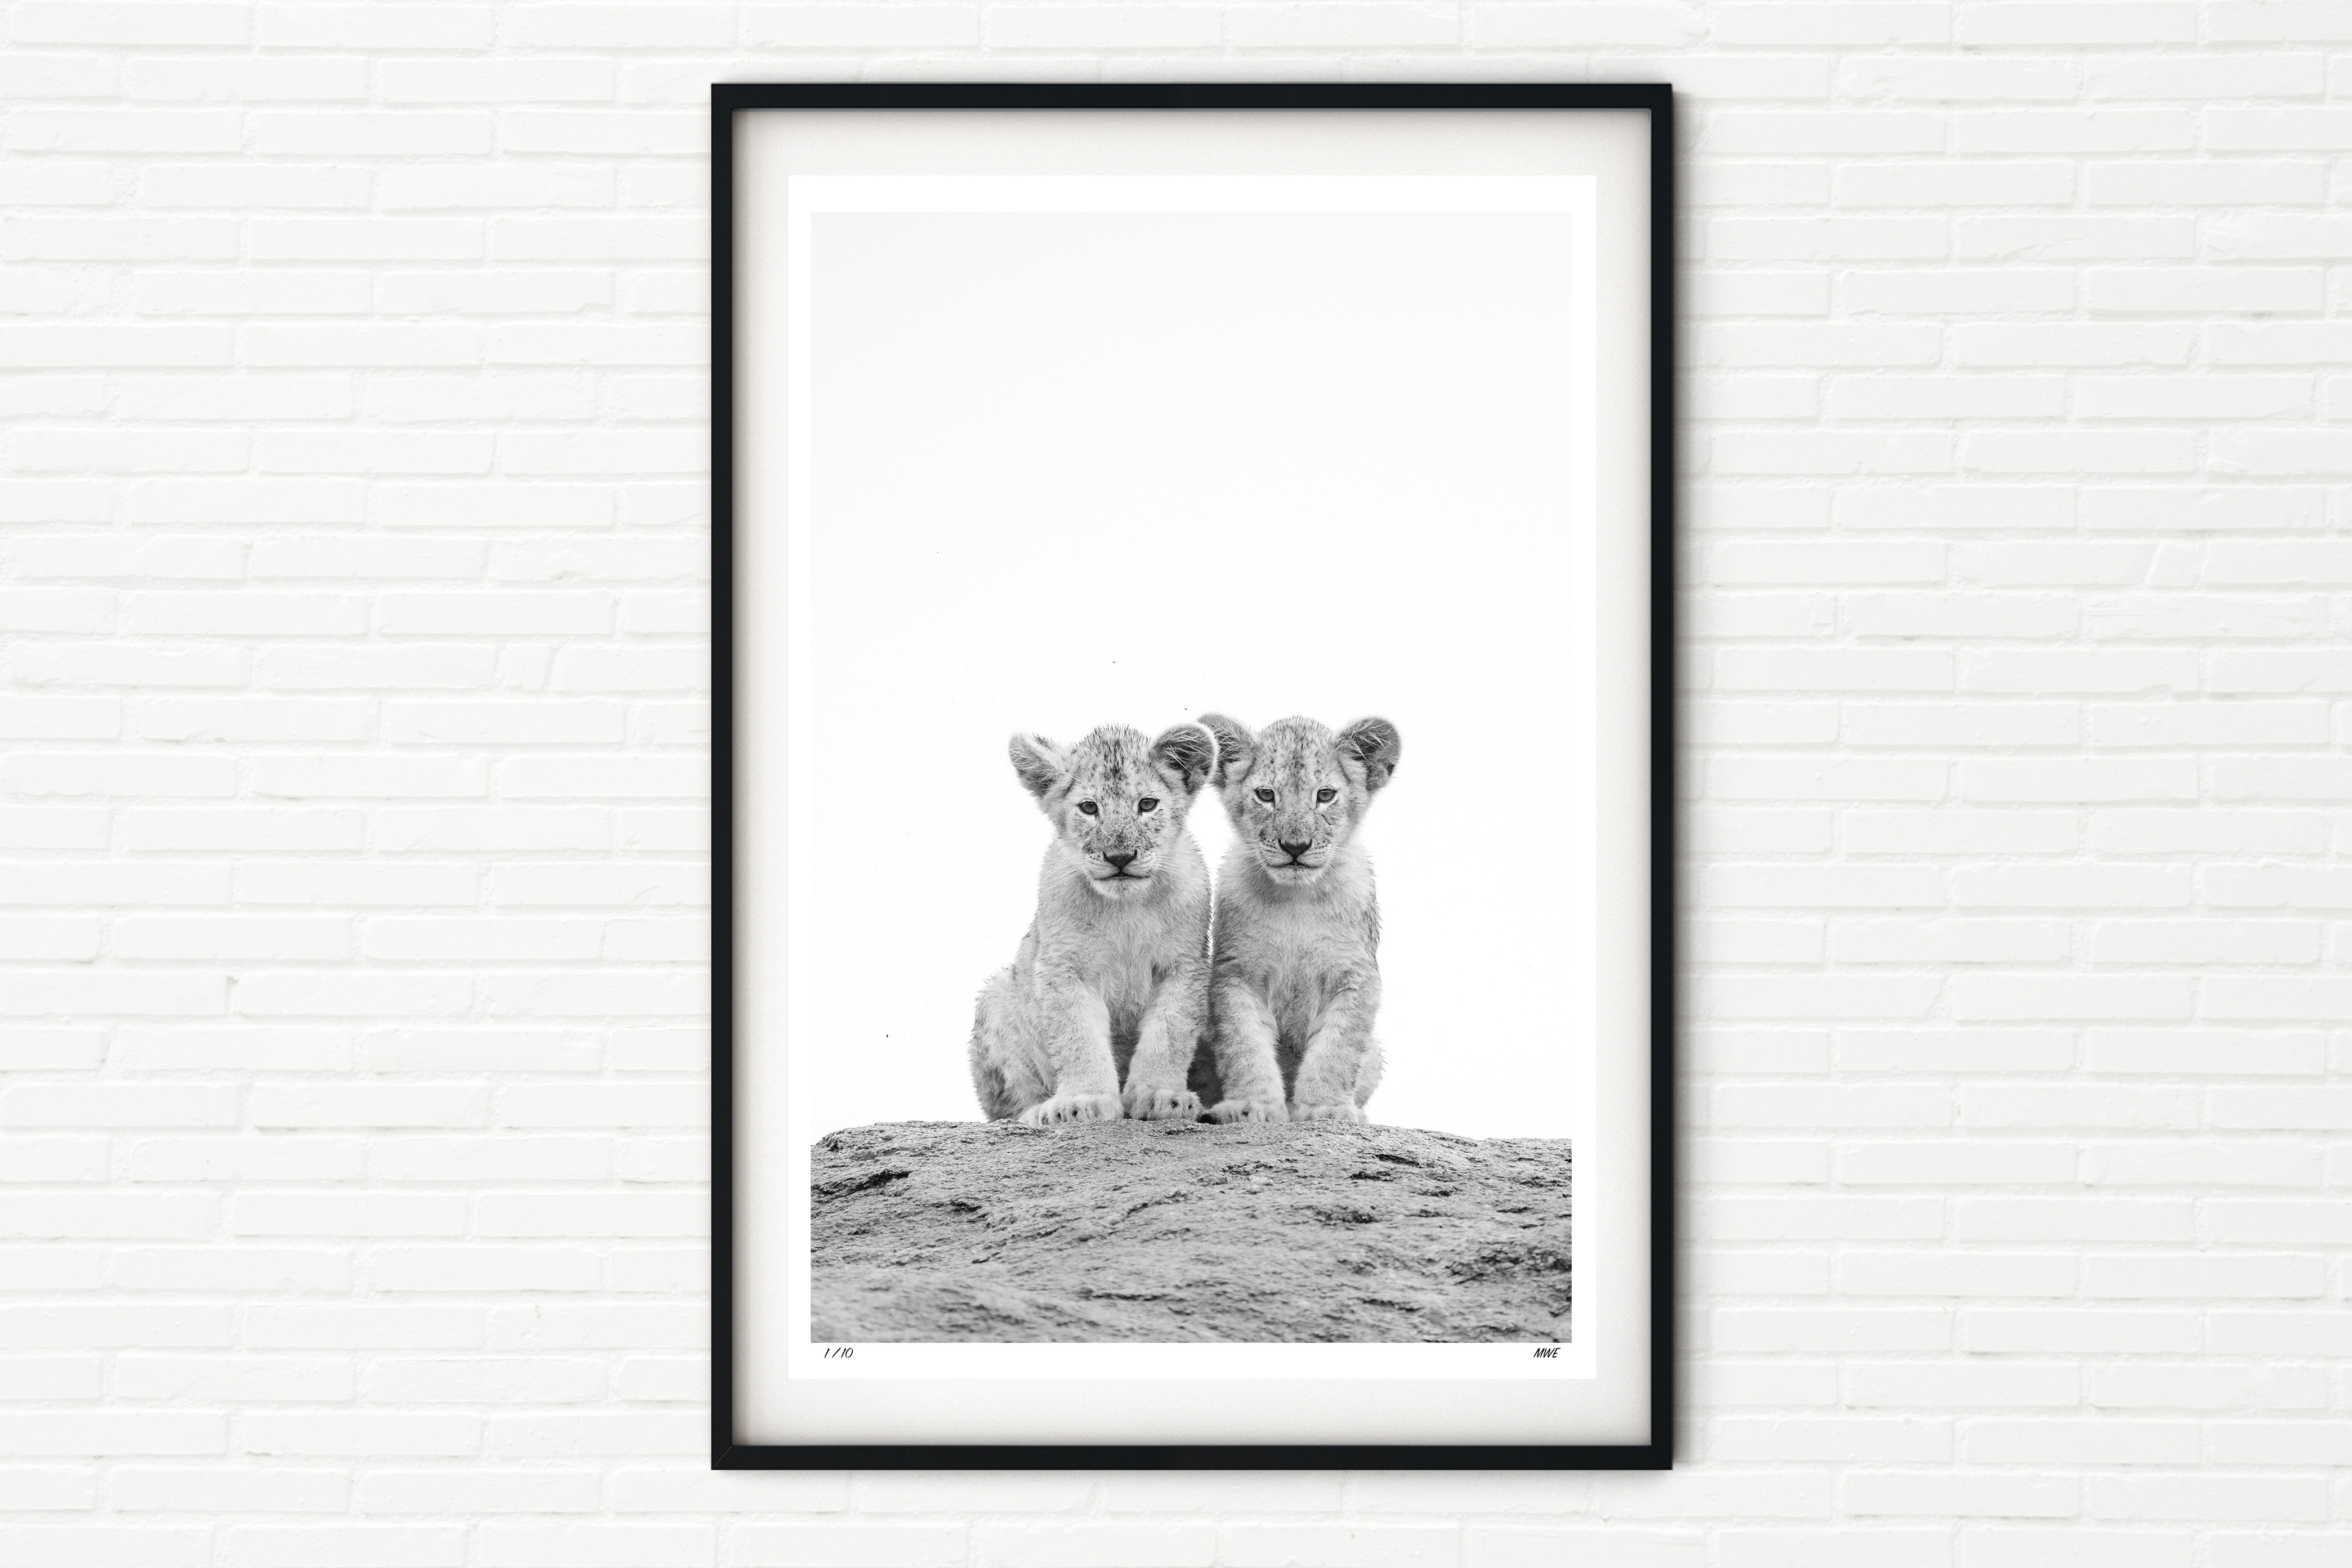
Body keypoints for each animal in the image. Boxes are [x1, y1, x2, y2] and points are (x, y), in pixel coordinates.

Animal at [969, 722, 1217, 1126]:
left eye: (1147, 804)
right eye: (1089, 808)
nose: (1120, 857)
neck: (1126, 909)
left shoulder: (1185, 966)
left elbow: (1169, 1033)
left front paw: (1160, 1097)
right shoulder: (1064, 967)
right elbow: (1077, 1036)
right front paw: (1082, 1102)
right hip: (996, 995)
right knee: (1007, 1108)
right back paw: (1037, 1112)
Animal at [1190, 713, 1402, 1125]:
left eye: (1325, 795)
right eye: (1266, 795)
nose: (1295, 847)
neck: (1296, 898)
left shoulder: (1355, 975)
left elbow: (1336, 1049)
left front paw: (1326, 1109)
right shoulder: (1235, 973)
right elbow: (1245, 1046)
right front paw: (1251, 1107)